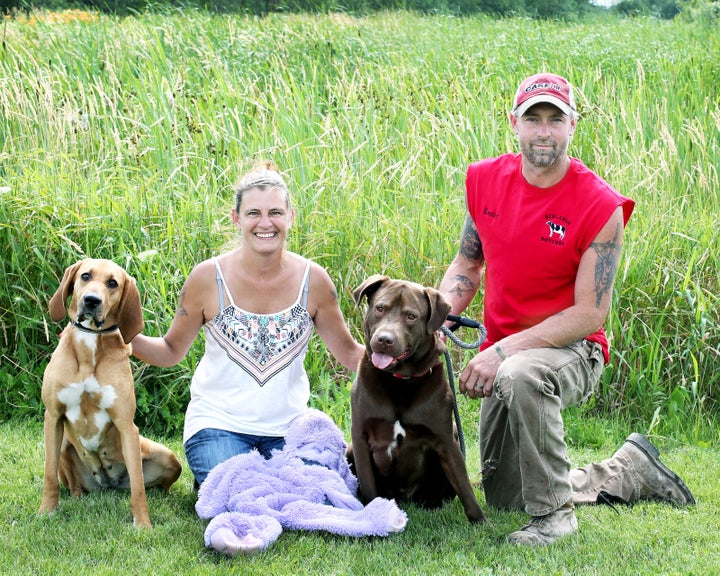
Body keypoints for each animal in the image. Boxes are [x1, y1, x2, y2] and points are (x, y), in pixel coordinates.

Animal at [38, 258, 183, 528]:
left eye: (113, 283)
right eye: (85, 276)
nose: (91, 301)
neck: (90, 344)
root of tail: (108, 485)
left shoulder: (126, 426)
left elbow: (138, 487)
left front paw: (143, 525)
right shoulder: (52, 416)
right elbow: (49, 476)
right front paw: (46, 511)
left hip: (168, 456)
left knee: (155, 485)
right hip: (62, 443)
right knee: (72, 485)